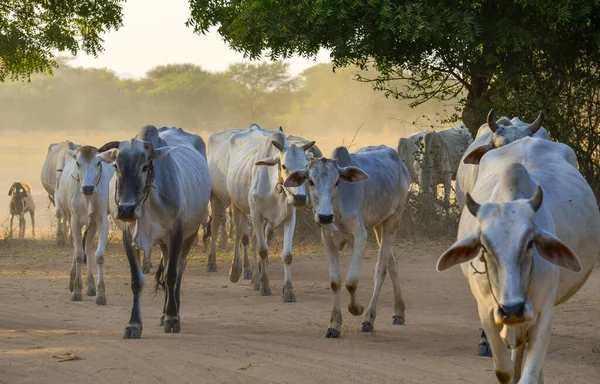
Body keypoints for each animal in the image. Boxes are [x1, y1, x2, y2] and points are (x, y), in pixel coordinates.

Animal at [56, 146, 116, 304]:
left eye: (98, 163)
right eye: (78, 163)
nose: (88, 188)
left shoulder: (101, 221)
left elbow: (98, 255)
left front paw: (101, 293)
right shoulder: (75, 221)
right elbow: (78, 254)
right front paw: (77, 290)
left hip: (92, 224)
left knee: (88, 248)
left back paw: (91, 286)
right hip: (71, 218)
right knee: (78, 248)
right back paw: (73, 282)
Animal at [98, 124, 211, 338]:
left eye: (144, 167)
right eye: (116, 166)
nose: (126, 209)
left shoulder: (176, 234)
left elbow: (171, 276)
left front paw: (172, 318)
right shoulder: (129, 237)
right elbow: (137, 281)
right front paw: (134, 324)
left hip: (189, 234)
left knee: (178, 270)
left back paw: (172, 312)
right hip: (164, 243)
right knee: (166, 267)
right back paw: (163, 313)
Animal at [286, 144, 412, 336]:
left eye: (337, 182)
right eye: (311, 181)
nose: (324, 216)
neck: (337, 206)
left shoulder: (360, 235)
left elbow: (351, 282)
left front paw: (357, 309)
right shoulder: (327, 238)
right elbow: (335, 281)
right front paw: (334, 324)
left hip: (393, 220)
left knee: (381, 269)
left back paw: (369, 318)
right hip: (378, 225)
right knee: (392, 264)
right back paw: (399, 311)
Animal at [436, 136, 600, 382]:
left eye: (530, 244)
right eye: (484, 248)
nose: (512, 308)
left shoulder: (544, 313)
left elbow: (529, 375)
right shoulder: (487, 313)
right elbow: (505, 371)